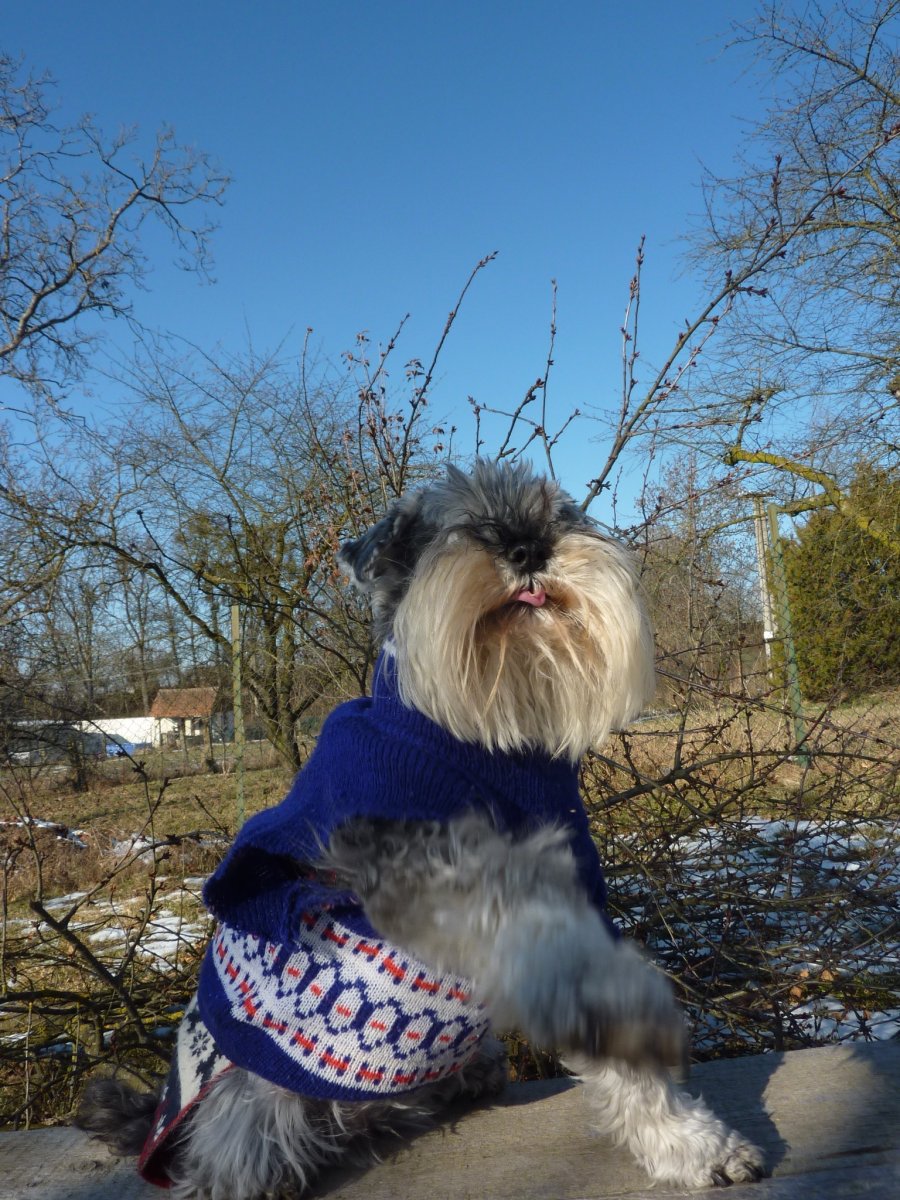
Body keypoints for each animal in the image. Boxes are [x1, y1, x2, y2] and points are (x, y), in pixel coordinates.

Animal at [78, 460, 764, 1197]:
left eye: (557, 513)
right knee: (225, 1151)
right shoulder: (424, 868)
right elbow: (564, 966)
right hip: (250, 1094)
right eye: (452, 524)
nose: (527, 548)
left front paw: (692, 1143)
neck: (492, 734)